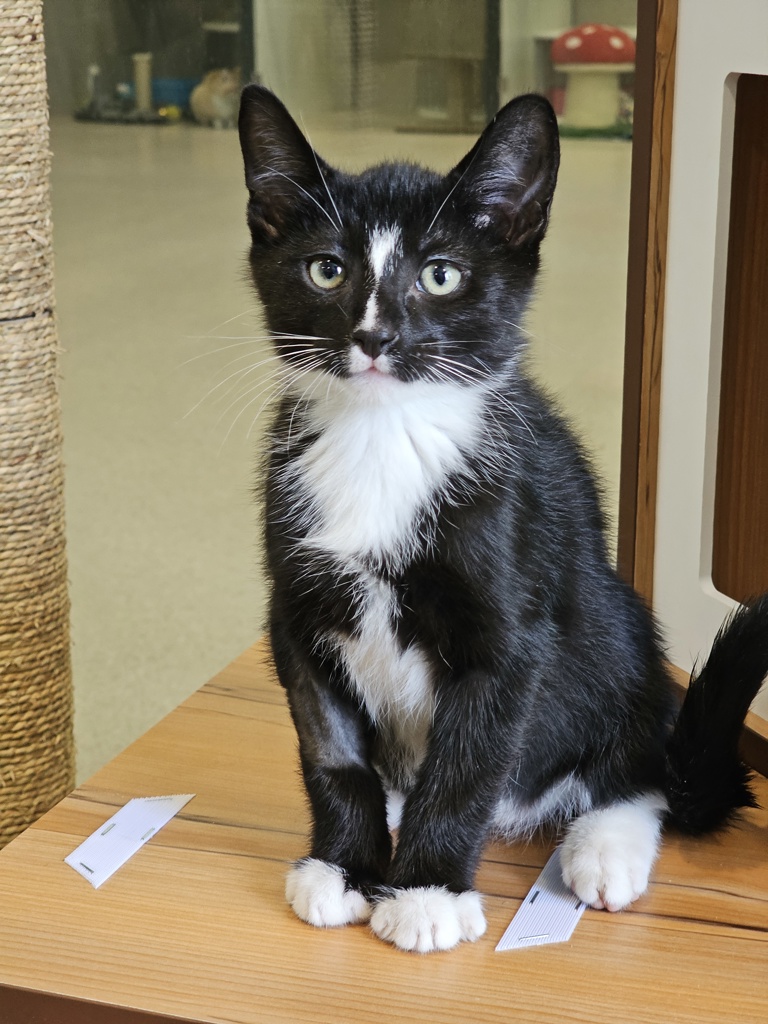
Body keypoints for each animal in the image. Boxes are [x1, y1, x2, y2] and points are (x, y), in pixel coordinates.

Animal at [237, 84, 768, 953]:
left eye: (441, 275)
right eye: (326, 269)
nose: (375, 336)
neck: (384, 440)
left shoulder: (512, 629)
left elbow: (465, 766)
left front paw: (425, 892)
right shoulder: (296, 607)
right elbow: (331, 749)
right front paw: (345, 866)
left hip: (609, 625)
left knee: (642, 765)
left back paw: (604, 846)